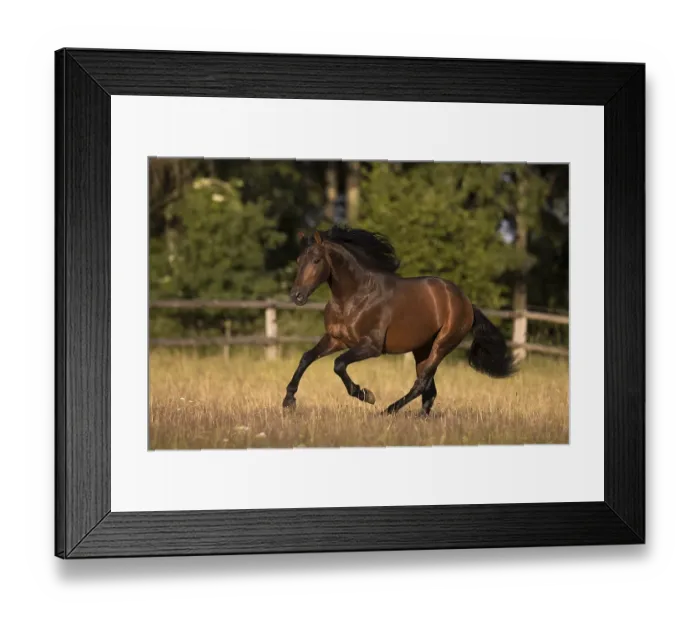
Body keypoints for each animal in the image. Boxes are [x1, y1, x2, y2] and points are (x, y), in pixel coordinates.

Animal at [282, 225, 516, 415]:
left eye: (316, 260)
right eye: (298, 261)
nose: (296, 296)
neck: (354, 297)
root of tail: (467, 303)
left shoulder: (371, 347)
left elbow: (338, 364)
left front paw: (366, 395)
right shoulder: (336, 339)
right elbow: (306, 357)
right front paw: (288, 401)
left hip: (442, 345)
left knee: (421, 384)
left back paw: (387, 411)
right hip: (422, 349)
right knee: (429, 389)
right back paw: (418, 418)